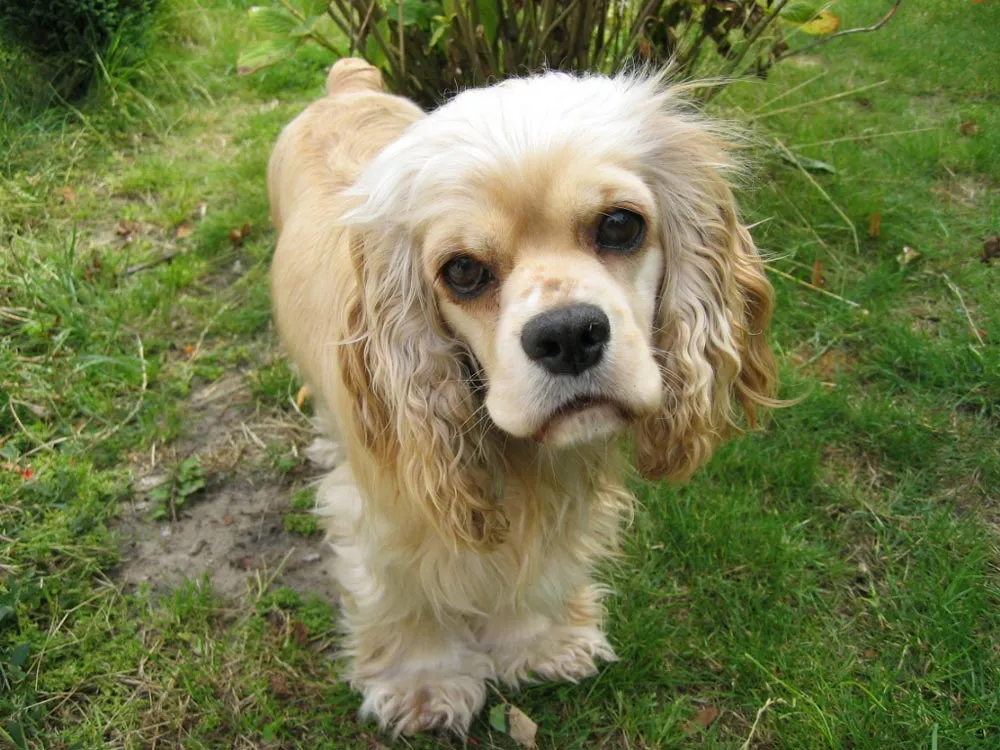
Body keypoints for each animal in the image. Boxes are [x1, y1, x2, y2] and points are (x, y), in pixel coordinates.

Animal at [266, 58, 772, 740]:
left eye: (620, 225)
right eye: (462, 271)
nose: (568, 335)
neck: (526, 464)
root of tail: (346, 86)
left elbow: (533, 572)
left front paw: (540, 643)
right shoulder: (389, 508)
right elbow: (403, 593)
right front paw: (423, 683)